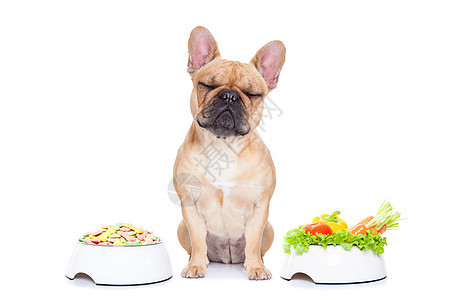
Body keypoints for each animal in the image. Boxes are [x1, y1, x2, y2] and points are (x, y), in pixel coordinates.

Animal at [172, 27, 284, 280]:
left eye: (252, 94)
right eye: (206, 85)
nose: (229, 96)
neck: (223, 144)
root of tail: (227, 258)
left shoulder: (260, 207)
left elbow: (253, 242)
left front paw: (256, 267)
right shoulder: (189, 205)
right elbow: (198, 240)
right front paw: (196, 265)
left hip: (269, 229)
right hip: (181, 227)